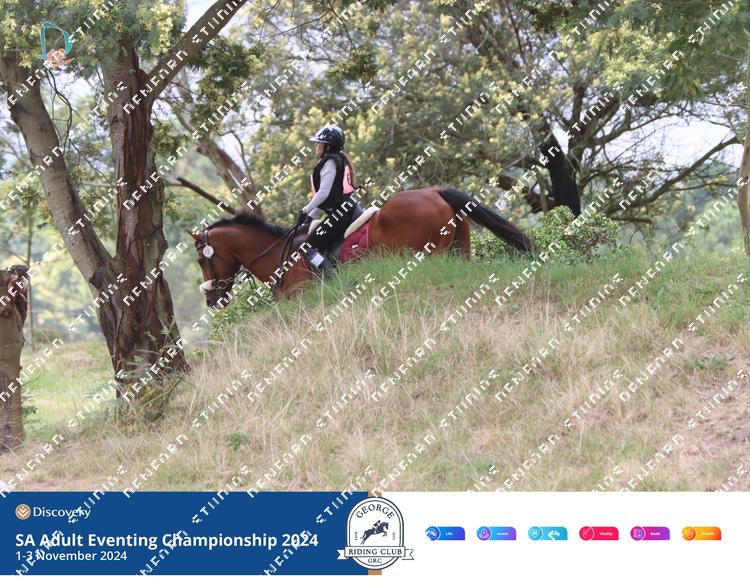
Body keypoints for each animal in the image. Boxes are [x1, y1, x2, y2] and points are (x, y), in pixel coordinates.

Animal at [189, 187, 537, 308]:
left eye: (201, 261)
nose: (211, 300)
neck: (278, 256)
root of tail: (434, 192)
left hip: (430, 255)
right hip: (459, 250)